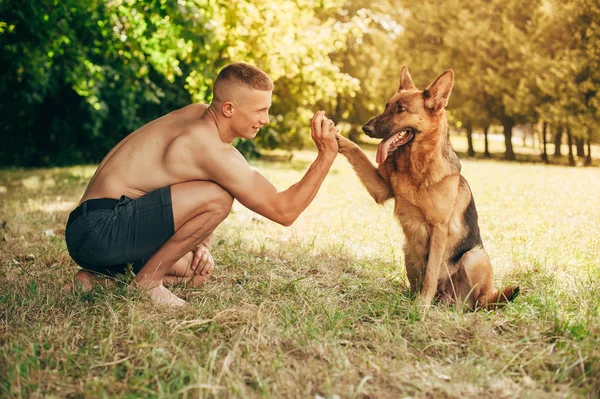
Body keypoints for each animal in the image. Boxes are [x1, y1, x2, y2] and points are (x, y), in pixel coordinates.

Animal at [338, 66, 520, 310]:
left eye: (401, 109)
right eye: (386, 105)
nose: (365, 128)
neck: (415, 167)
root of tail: (450, 299)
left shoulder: (439, 229)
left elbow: (431, 273)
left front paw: (422, 306)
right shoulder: (381, 189)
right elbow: (357, 151)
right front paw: (336, 137)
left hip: (474, 257)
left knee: (480, 300)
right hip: (408, 250)